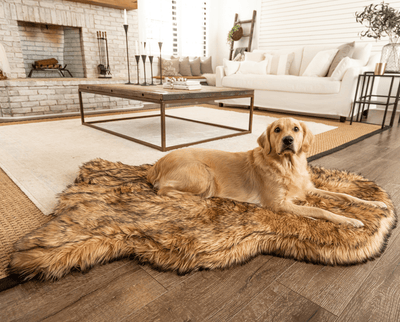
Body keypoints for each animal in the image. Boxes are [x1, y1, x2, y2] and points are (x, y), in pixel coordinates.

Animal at [148, 117, 388, 226]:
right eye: (277, 130)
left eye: (296, 129)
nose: (288, 140)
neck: (288, 166)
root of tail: (158, 162)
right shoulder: (278, 203)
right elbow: (320, 210)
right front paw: (349, 220)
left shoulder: (308, 188)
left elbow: (345, 195)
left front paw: (375, 203)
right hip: (203, 175)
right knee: (163, 190)